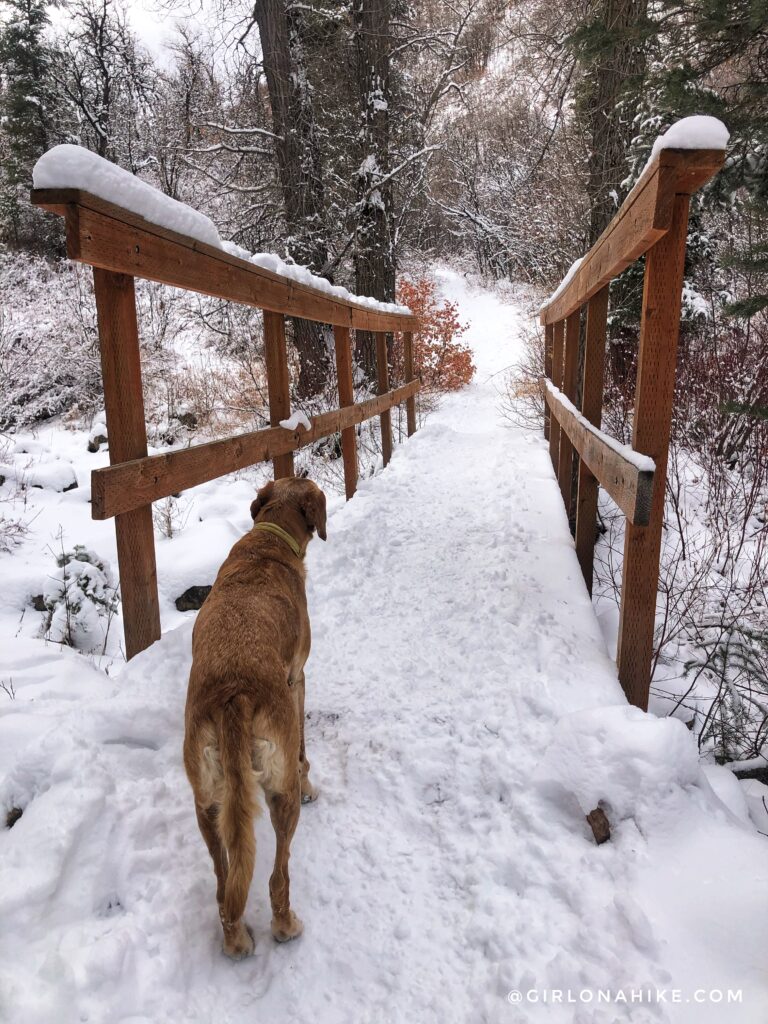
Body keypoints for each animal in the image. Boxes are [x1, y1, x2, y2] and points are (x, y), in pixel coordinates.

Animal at [185, 477, 325, 958]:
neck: (268, 539)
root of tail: (234, 694)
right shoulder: (298, 675)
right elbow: (304, 748)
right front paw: (311, 781)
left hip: (207, 802)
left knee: (225, 884)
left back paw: (235, 940)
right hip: (279, 792)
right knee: (277, 876)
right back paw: (286, 926)